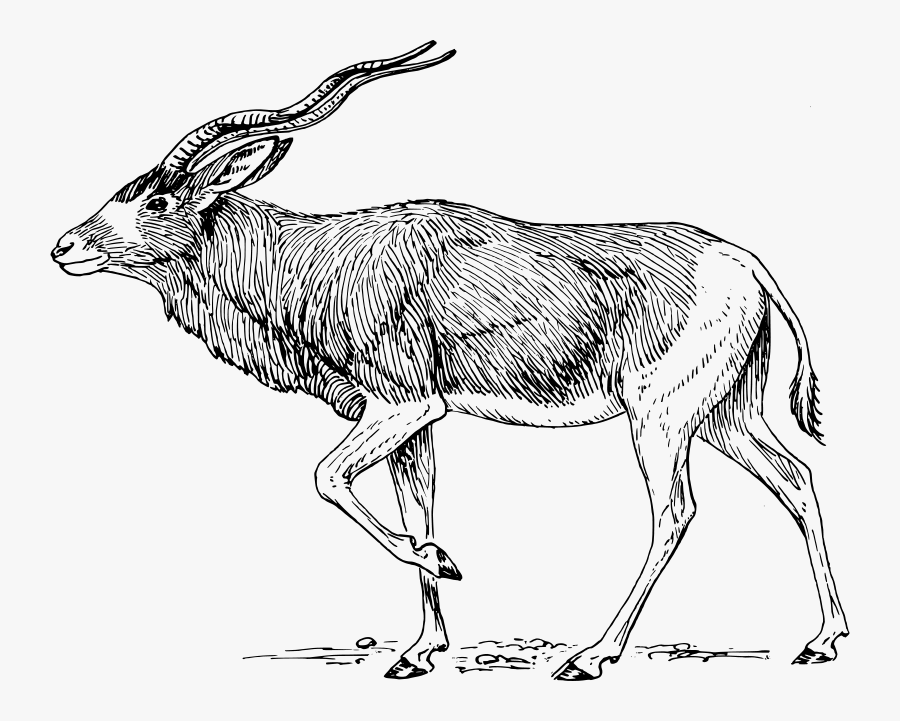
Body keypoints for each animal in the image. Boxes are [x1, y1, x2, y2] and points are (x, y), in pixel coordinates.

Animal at [52, 42, 847, 680]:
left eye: (159, 198)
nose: (64, 246)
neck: (314, 261)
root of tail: (747, 268)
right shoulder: (415, 425)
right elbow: (420, 503)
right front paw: (419, 649)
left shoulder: (401, 405)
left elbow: (327, 477)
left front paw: (444, 561)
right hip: (723, 417)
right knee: (797, 479)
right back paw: (822, 640)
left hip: (660, 418)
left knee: (675, 512)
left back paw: (591, 656)